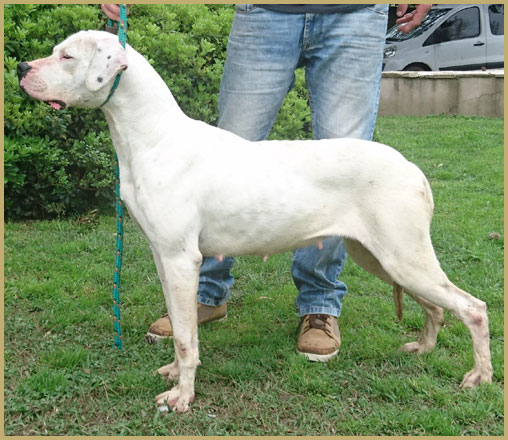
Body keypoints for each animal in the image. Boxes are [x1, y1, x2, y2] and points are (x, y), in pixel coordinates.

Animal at [18, 31, 492, 412]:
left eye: (67, 57)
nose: (21, 68)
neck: (153, 138)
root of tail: (412, 168)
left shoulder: (180, 259)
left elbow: (187, 338)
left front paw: (183, 397)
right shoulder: (163, 258)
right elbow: (180, 325)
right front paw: (173, 372)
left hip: (402, 256)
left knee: (473, 308)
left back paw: (480, 377)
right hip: (381, 257)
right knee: (436, 305)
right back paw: (423, 349)